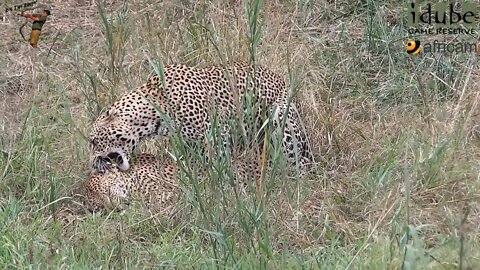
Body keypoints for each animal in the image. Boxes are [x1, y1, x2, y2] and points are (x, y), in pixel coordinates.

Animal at [89, 61, 316, 173]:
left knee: (301, 162)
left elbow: (217, 165)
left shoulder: (215, 135)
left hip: (280, 118)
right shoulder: (191, 143)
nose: (92, 165)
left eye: (92, 141)